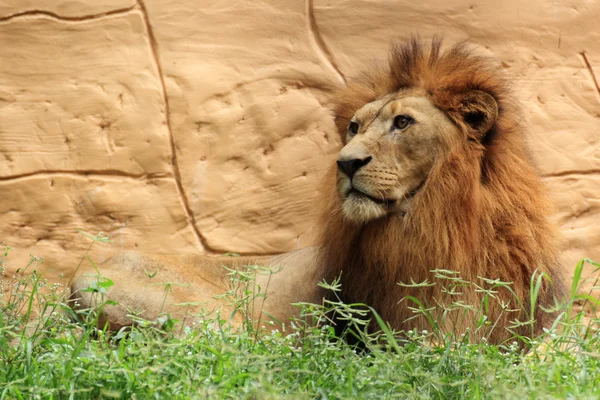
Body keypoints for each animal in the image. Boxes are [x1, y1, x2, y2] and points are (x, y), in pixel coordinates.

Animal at [70, 38, 568, 344]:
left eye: (403, 122)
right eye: (354, 127)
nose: (345, 163)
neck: (442, 222)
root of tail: (80, 275)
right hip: (215, 318)